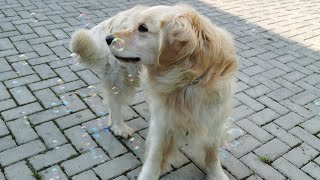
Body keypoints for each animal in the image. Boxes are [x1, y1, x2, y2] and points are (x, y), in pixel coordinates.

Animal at [106, 3, 239, 180]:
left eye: (142, 28)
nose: (108, 39)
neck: (186, 80)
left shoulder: (214, 117)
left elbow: (213, 152)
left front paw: (216, 174)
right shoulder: (162, 119)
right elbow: (155, 153)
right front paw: (148, 175)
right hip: (122, 76)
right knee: (113, 100)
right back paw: (119, 126)